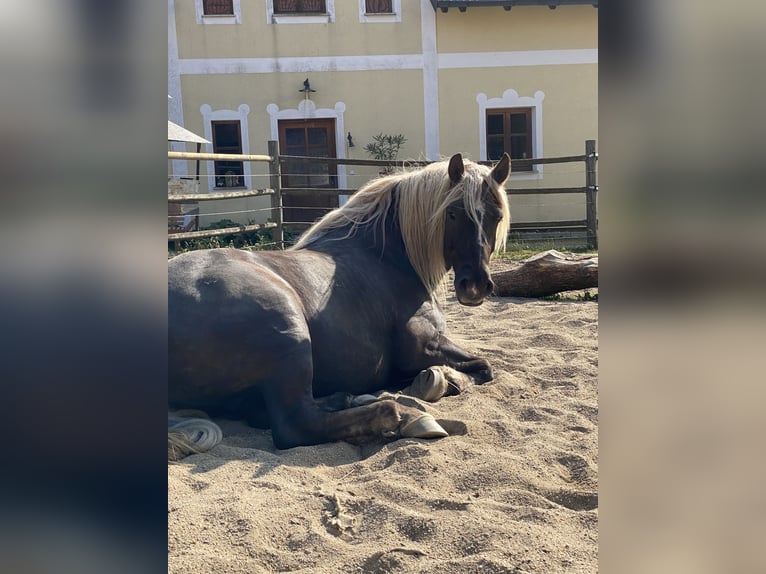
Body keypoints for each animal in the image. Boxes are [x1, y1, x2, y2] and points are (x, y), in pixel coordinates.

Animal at [168, 153, 511, 460]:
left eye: (496, 216)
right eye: (452, 213)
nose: (475, 285)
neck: (386, 256)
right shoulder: (424, 345)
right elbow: (484, 366)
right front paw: (439, 380)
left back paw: (349, 398)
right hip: (289, 332)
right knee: (296, 424)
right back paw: (407, 417)